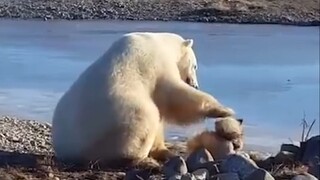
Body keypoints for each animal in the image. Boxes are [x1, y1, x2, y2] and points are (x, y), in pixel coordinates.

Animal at [51, 32, 234, 169]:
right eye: (195, 65)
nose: (195, 84)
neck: (161, 43)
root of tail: (68, 149)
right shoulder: (157, 66)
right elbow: (176, 95)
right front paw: (224, 110)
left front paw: (164, 149)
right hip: (115, 120)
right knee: (145, 119)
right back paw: (142, 159)